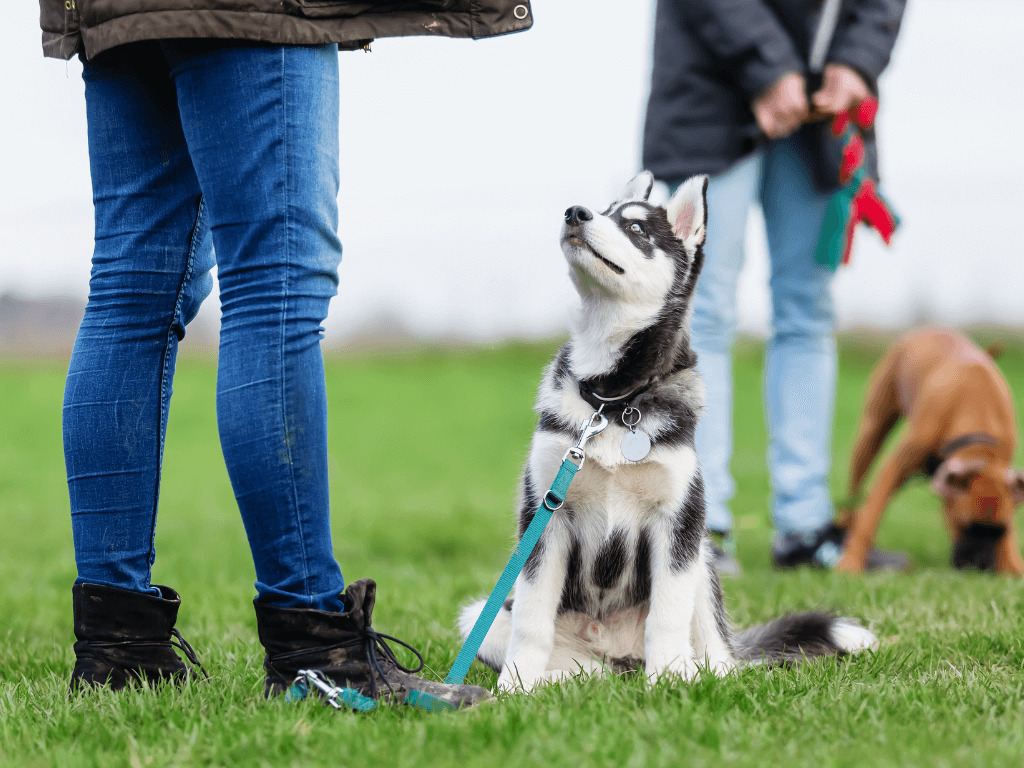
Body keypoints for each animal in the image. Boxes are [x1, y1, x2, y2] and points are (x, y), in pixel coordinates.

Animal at [460, 173, 876, 692]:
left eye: (637, 228)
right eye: (602, 210)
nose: (575, 212)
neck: (611, 401)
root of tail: (618, 657)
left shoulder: (678, 521)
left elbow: (667, 615)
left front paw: (670, 682)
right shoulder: (545, 515)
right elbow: (532, 618)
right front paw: (515, 688)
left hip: (702, 562)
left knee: (713, 650)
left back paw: (696, 673)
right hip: (481, 616)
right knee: (582, 667)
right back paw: (562, 684)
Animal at [839, 327, 1024, 573]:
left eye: (999, 531)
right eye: (965, 526)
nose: (980, 567)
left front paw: (1012, 564)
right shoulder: (895, 468)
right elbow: (870, 517)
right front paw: (851, 561)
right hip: (871, 433)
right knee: (854, 494)